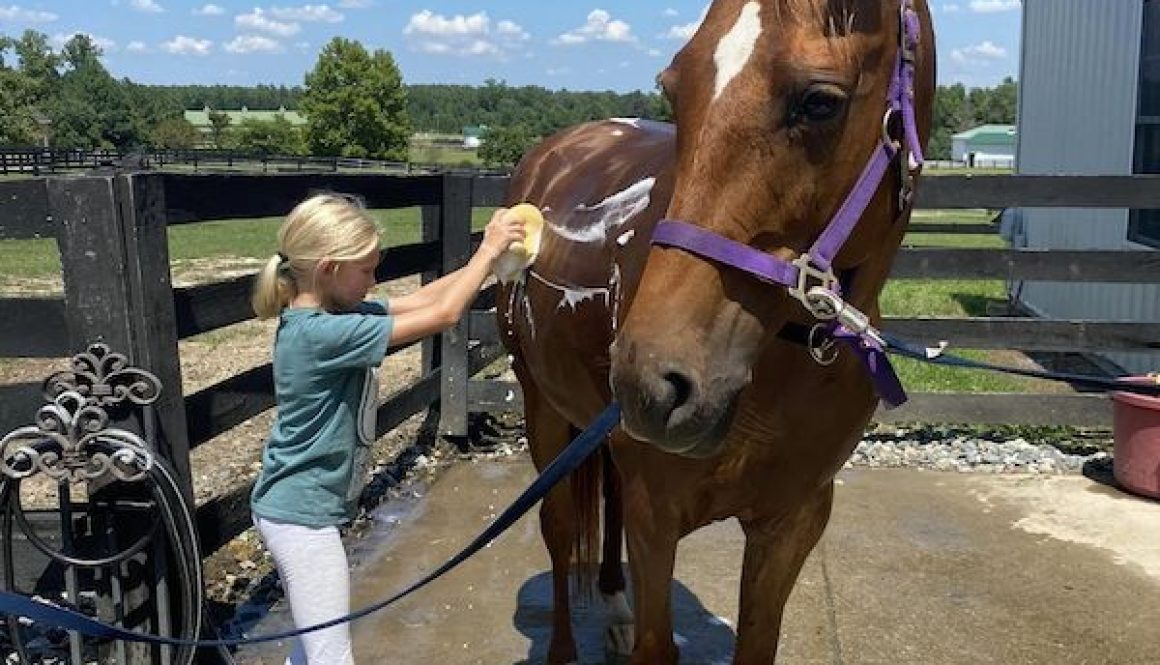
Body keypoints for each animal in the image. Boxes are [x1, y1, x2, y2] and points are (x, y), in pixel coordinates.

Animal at [496, 1, 935, 662]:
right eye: (674, 91)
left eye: (820, 102)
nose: (653, 379)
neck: (784, 363)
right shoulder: (657, 517)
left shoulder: (792, 521)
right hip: (543, 407)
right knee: (560, 528)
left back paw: (614, 605)